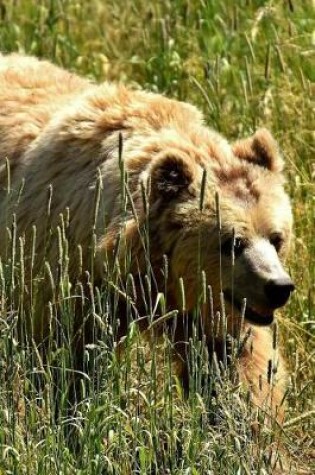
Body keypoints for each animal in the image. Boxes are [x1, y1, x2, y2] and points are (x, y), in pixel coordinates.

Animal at [0, 53, 296, 424]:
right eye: (233, 242)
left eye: (276, 237)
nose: (279, 287)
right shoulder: (64, 271)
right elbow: (67, 359)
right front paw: (72, 417)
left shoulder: (209, 311)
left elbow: (235, 362)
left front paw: (247, 422)